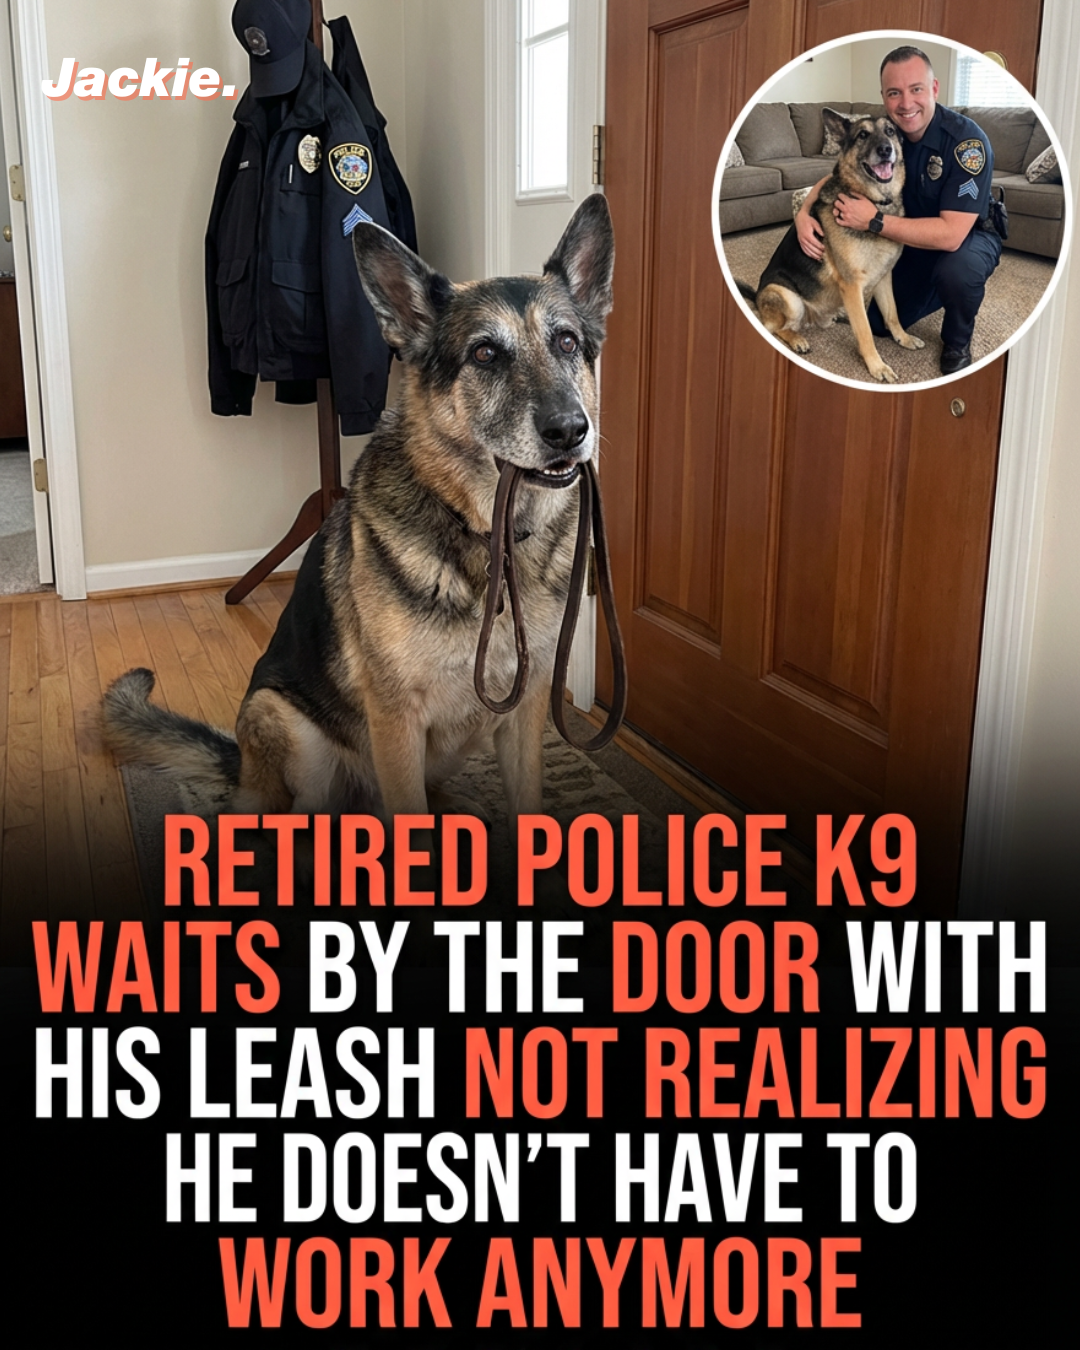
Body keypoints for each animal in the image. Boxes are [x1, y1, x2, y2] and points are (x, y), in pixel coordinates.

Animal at [103, 193, 615, 820]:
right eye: (485, 353)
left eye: (567, 343)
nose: (570, 431)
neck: (487, 541)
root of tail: (243, 770)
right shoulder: (395, 722)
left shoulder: (525, 715)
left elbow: (527, 805)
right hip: (287, 725)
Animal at [737, 108, 924, 383]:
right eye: (863, 135)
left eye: (890, 131)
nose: (885, 149)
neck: (875, 205)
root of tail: (758, 297)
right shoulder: (852, 284)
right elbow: (865, 331)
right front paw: (877, 366)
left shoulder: (884, 277)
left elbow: (892, 314)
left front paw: (904, 339)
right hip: (787, 297)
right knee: (774, 327)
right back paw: (797, 339)